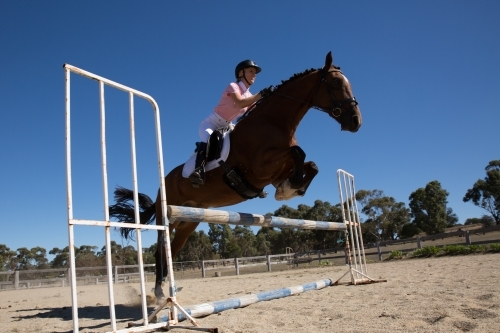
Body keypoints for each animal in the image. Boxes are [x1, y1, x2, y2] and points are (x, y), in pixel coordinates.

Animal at [109, 52, 362, 298]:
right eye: (336, 82)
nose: (356, 121)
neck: (273, 122)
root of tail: (165, 182)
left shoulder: (276, 171)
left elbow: (311, 164)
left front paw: (289, 188)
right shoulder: (260, 167)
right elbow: (298, 152)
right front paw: (288, 190)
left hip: (189, 221)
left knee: (174, 248)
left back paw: (168, 289)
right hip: (167, 215)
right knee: (161, 249)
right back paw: (160, 292)